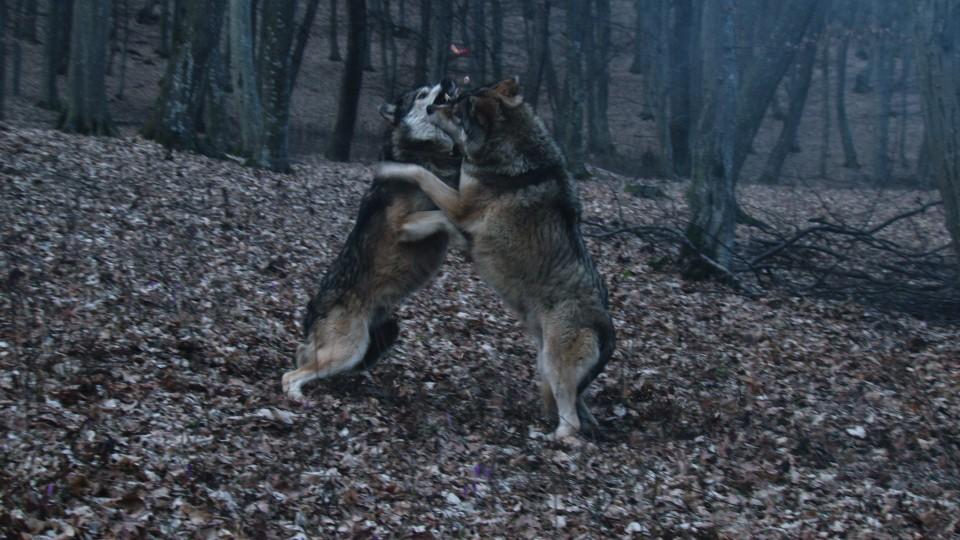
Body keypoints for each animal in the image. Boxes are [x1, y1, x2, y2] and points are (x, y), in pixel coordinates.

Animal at [282, 79, 462, 400]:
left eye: (433, 85)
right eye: (422, 93)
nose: (449, 81)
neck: (425, 152)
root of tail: (313, 313)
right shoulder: (405, 225)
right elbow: (443, 215)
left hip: (383, 333)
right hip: (349, 349)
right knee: (290, 375)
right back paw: (297, 398)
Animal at [376, 78, 616, 440]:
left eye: (457, 112)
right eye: (454, 101)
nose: (431, 107)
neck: (515, 157)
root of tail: (610, 333)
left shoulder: (460, 206)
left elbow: (420, 173)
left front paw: (390, 169)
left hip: (554, 368)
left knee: (571, 425)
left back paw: (546, 439)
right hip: (546, 367)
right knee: (581, 415)